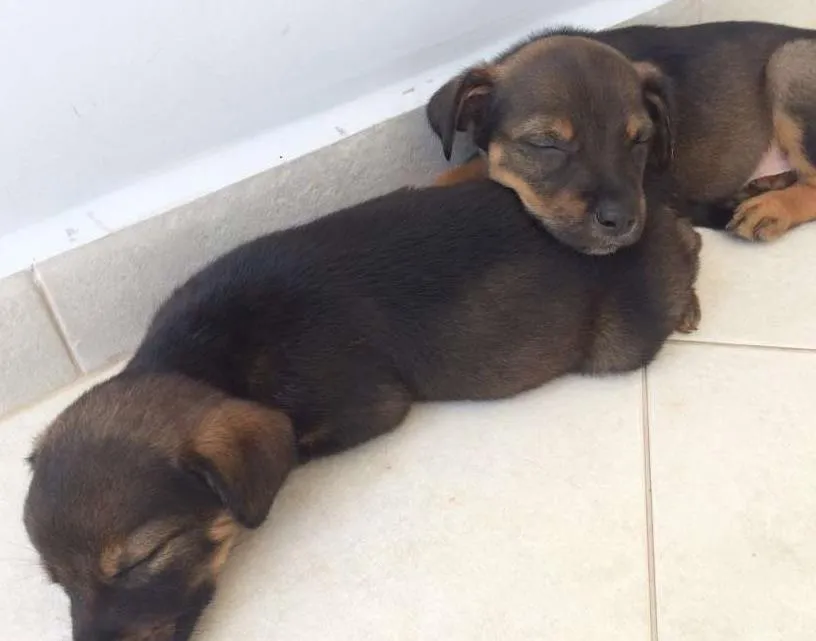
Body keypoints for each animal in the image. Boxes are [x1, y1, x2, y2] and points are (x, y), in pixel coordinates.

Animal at [24, 179, 701, 640]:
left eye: (143, 560)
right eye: (58, 583)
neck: (204, 355)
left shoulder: (365, 407)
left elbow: (297, 444)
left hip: (620, 342)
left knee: (683, 254)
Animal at [427, 21, 816, 242]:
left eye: (640, 139)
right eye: (546, 144)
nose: (622, 221)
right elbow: (463, 169)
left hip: (788, 63)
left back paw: (772, 207)